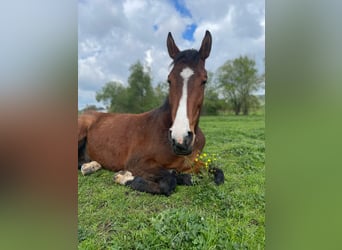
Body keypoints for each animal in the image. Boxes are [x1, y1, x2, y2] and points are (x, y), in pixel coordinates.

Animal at [79, 30, 226, 195]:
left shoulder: (192, 163)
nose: (180, 140)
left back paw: (91, 166)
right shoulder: (137, 163)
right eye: (169, 80)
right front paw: (123, 177)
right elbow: (169, 181)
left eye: (204, 80)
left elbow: (217, 174)